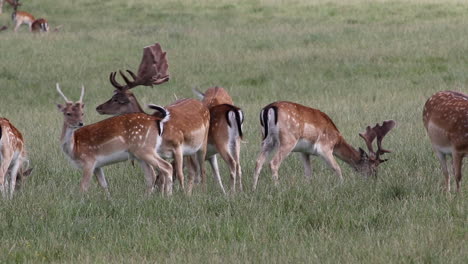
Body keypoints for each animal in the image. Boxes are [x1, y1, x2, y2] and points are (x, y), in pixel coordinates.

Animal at [96, 42, 209, 193]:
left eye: (117, 99)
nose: (99, 107)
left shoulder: (177, 147)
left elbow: (178, 174)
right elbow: (159, 176)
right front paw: (162, 193)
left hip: (201, 143)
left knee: (200, 169)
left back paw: (200, 191)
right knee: (192, 170)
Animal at [252, 101, 394, 190]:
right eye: (373, 168)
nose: (374, 181)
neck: (337, 140)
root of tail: (268, 109)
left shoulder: (304, 151)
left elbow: (308, 172)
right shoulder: (325, 148)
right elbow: (337, 168)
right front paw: (342, 186)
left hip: (266, 140)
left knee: (258, 161)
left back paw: (253, 190)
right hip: (287, 141)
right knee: (273, 163)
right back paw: (278, 189)